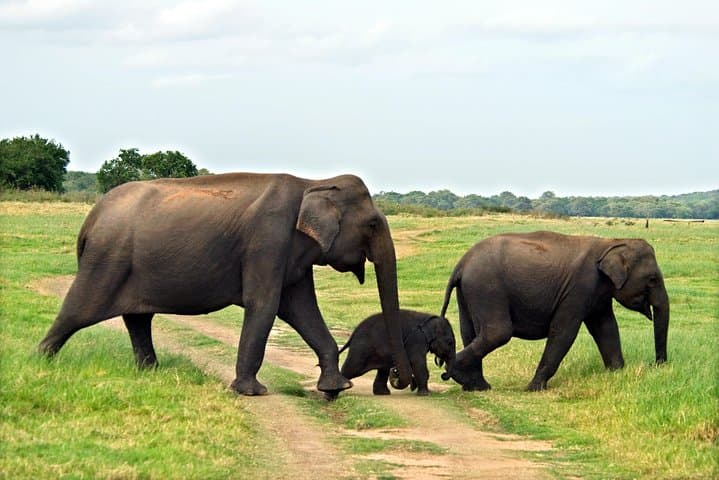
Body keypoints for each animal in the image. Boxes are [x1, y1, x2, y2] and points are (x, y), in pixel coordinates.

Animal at [37, 173, 413, 396]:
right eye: (372, 225)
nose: (399, 379)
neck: (314, 181)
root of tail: (91, 219)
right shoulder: (268, 241)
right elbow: (266, 305)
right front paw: (252, 392)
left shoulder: (291, 254)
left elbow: (301, 309)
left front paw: (335, 389)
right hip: (106, 260)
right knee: (76, 311)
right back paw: (39, 362)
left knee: (138, 319)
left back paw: (151, 372)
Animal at [327, 309, 455, 399]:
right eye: (450, 342)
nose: (443, 374)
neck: (428, 318)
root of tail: (353, 333)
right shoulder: (417, 340)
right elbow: (417, 362)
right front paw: (425, 394)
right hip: (361, 349)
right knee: (353, 368)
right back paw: (331, 394)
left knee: (383, 369)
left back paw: (382, 393)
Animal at [440, 231, 669, 392]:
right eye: (652, 280)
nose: (656, 365)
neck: (611, 242)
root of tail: (461, 264)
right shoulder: (579, 288)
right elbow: (564, 331)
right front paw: (533, 389)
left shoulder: (598, 293)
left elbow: (606, 327)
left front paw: (617, 374)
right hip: (486, 288)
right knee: (497, 333)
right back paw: (456, 373)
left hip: (468, 291)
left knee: (470, 332)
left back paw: (476, 386)